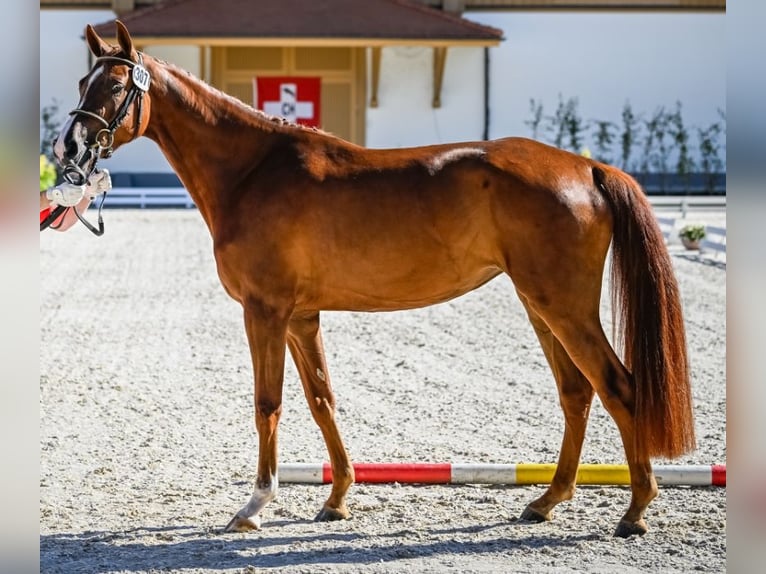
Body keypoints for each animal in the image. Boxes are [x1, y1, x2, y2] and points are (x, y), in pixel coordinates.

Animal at [55, 20, 696, 536]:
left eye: (116, 86)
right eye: (82, 82)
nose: (70, 148)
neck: (253, 170)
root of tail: (587, 166)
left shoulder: (264, 311)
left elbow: (269, 403)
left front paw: (255, 506)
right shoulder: (301, 316)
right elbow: (322, 399)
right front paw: (337, 498)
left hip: (564, 306)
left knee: (619, 387)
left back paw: (635, 510)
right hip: (541, 306)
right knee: (576, 393)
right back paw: (547, 501)